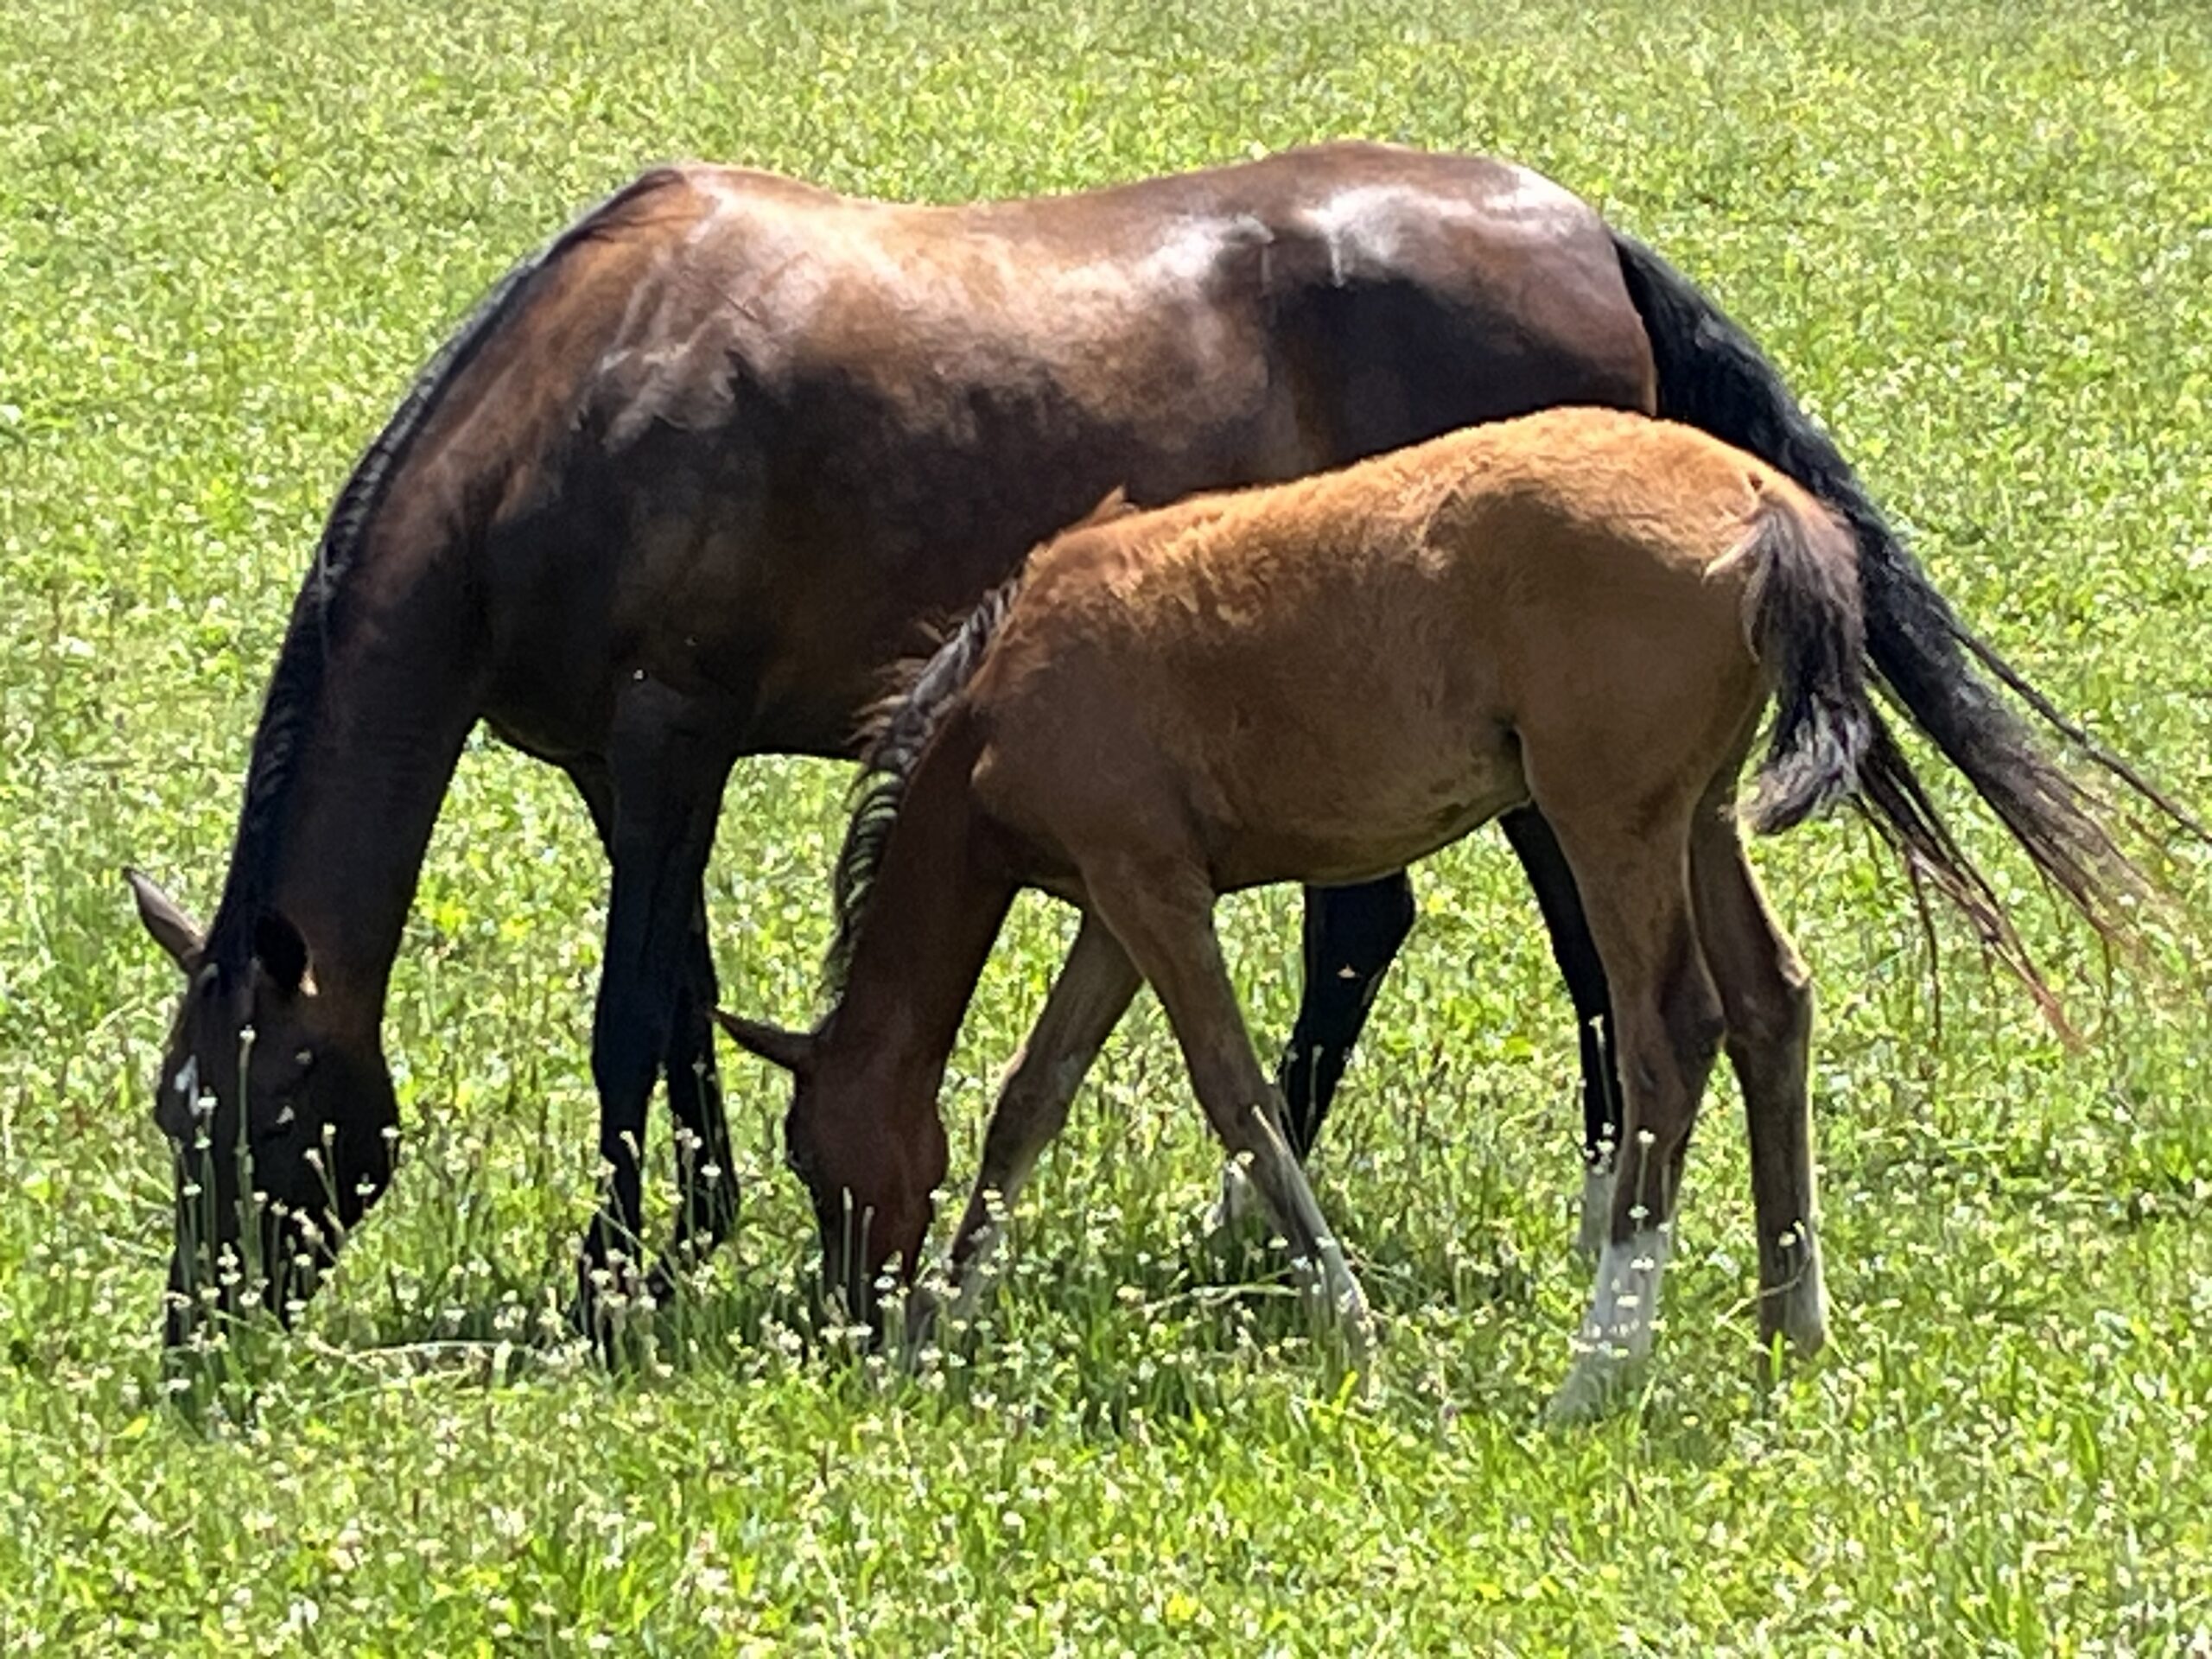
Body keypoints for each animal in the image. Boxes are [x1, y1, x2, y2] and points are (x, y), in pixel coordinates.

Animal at [712, 407, 2147, 1420]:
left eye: (814, 1159)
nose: (852, 1316)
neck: (1010, 682)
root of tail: (1763, 503)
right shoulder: (1117, 907)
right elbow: (1032, 1096)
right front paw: (945, 1320)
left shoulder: (1149, 888)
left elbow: (1234, 1094)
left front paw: (1351, 1326)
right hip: (1698, 819)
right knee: (1770, 1005)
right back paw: (1789, 1327)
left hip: (1607, 823)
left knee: (1669, 1034)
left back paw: (1598, 1370)